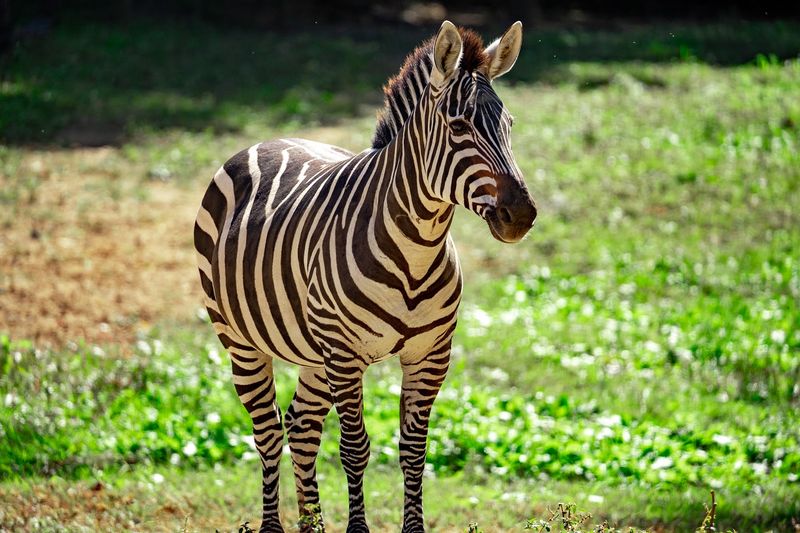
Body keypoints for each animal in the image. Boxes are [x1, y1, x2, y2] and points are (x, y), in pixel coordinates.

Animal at [193, 20, 536, 532]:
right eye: (459, 127)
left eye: (509, 125)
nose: (523, 215)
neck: (417, 250)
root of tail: (268, 140)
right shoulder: (345, 354)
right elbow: (355, 449)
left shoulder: (430, 355)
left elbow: (414, 451)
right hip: (242, 340)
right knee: (269, 431)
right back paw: (274, 524)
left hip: (313, 353)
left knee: (302, 428)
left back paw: (312, 526)